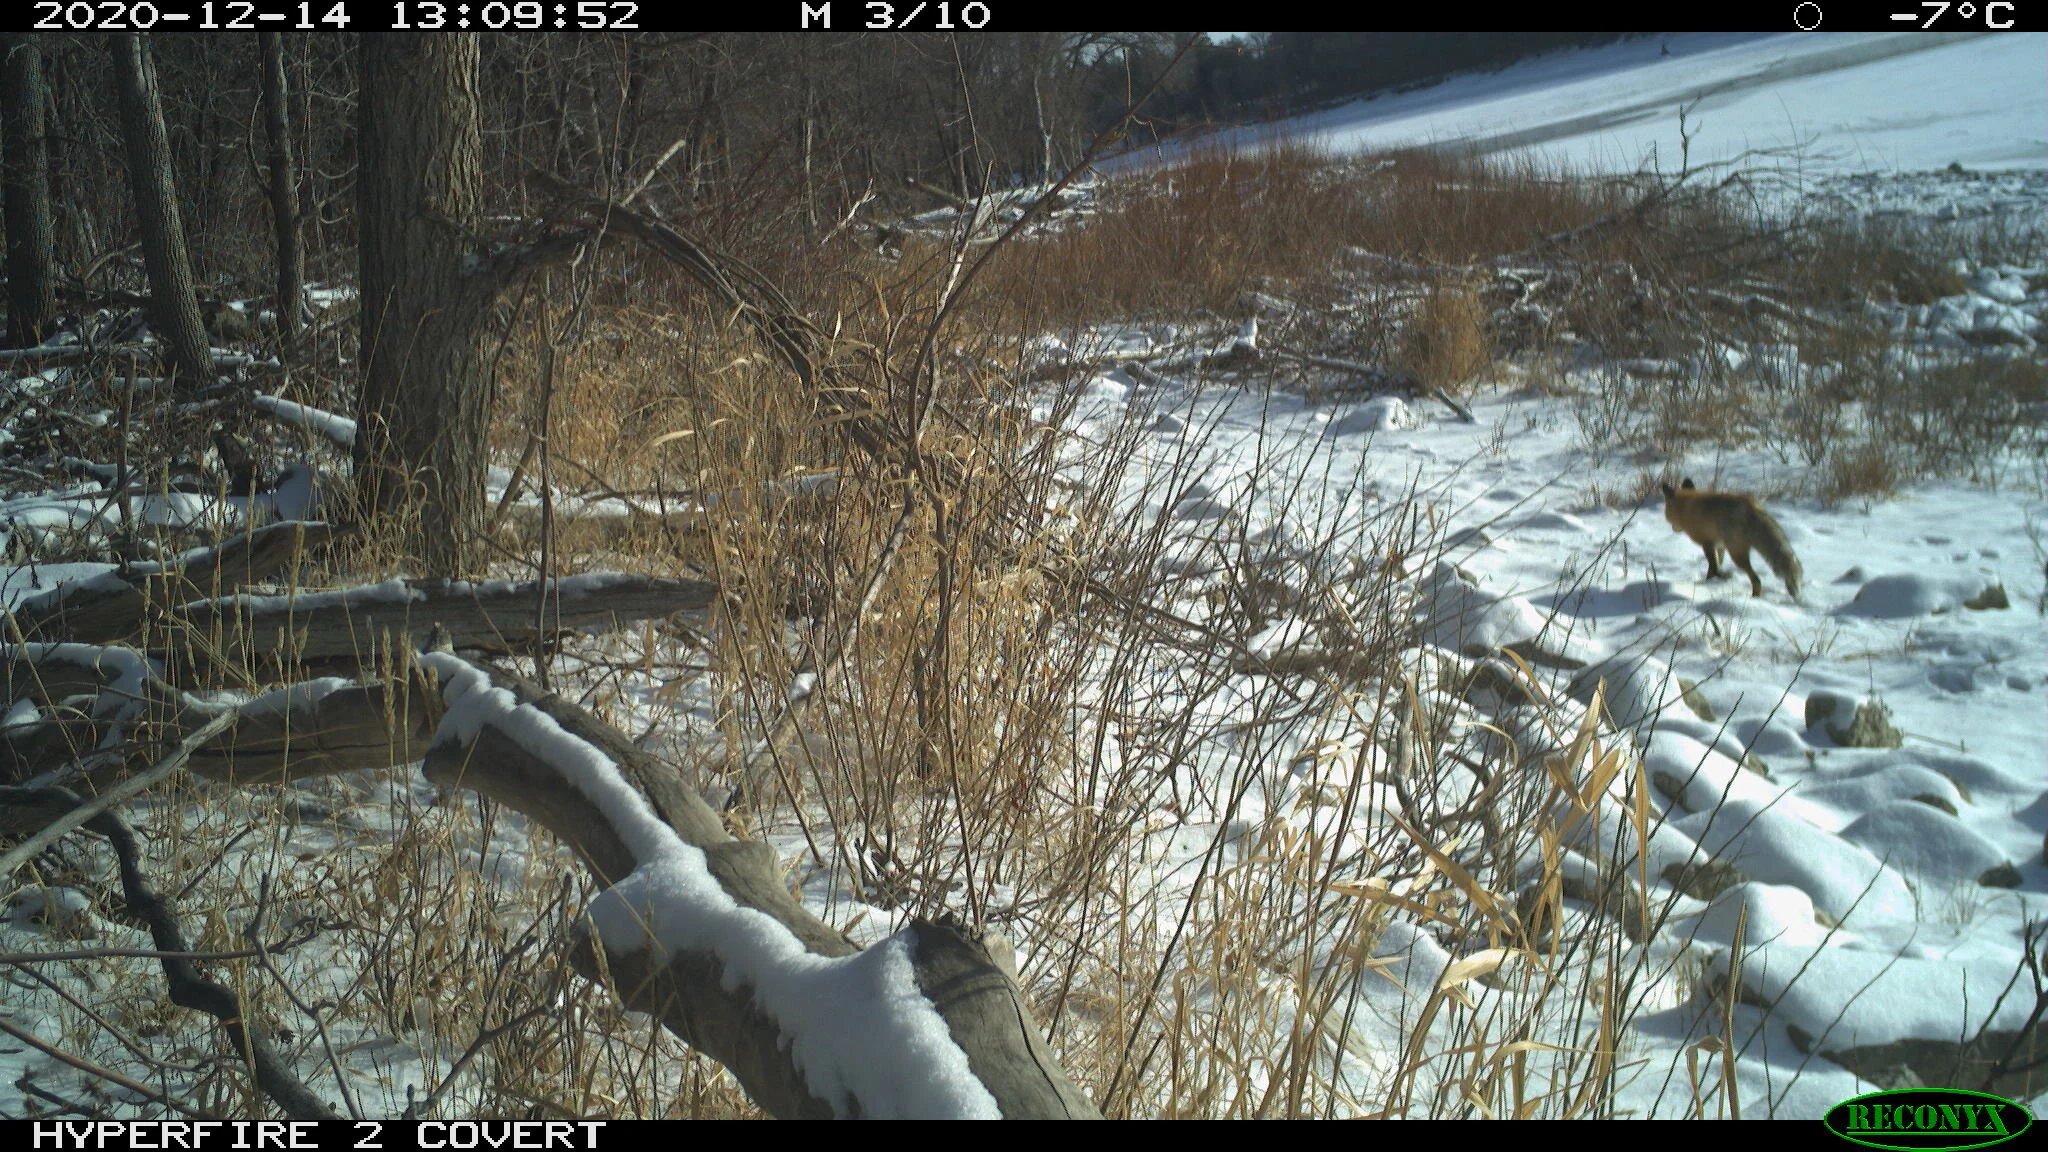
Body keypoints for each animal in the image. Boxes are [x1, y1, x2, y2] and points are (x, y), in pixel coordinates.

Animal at [1660, 478, 1802, 602]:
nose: (1674, 529)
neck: (1686, 506)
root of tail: (1750, 506)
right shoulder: (1719, 545)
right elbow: (1716, 564)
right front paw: (1713, 581)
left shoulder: (1707, 543)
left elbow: (1713, 566)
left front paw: (1712, 581)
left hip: (1736, 554)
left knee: (1756, 580)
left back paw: (1754, 599)